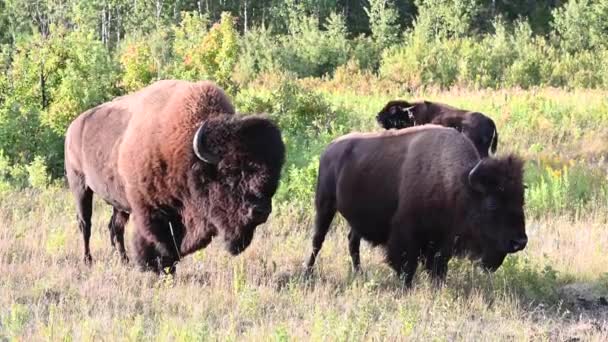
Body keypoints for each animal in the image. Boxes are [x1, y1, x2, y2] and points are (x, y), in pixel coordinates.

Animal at [63, 79, 286, 272]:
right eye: (230, 172)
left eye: (274, 174)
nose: (261, 211)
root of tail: (73, 126)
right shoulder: (149, 211)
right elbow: (159, 243)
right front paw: (154, 268)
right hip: (80, 185)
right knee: (85, 224)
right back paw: (88, 261)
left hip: (118, 202)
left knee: (115, 228)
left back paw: (123, 261)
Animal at [306, 125, 524, 286]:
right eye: (492, 204)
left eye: (521, 200)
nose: (520, 242)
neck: (456, 184)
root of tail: (329, 150)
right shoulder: (406, 236)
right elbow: (406, 266)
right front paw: (407, 287)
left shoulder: (441, 243)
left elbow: (437, 268)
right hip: (325, 205)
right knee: (317, 240)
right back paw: (308, 273)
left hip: (356, 219)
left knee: (352, 241)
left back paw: (359, 274)